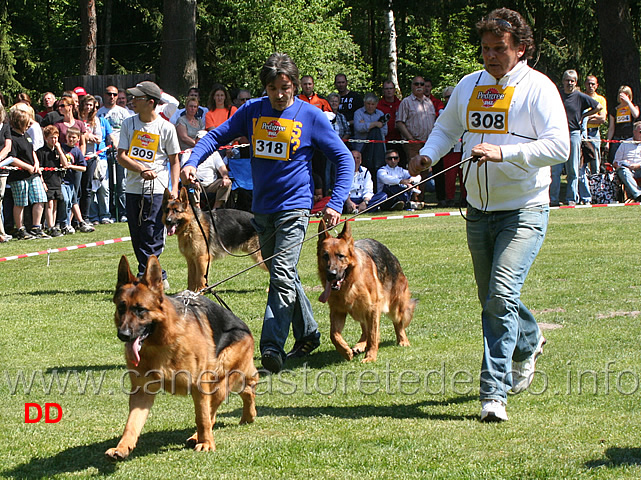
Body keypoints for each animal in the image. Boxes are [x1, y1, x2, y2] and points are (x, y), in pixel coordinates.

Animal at [104, 255, 256, 462]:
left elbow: (202, 417)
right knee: (245, 391)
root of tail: (244, 327)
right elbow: (131, 424)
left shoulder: (199, 386)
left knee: (218, 407)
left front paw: (207, 443)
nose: (123, 335)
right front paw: (122, 447)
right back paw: (248, 416)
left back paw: (203, 435)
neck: (162, 342)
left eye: (141, 310)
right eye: (121, 308)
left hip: (218, 381)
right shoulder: (141, 392)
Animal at [316, 219, 416, 362]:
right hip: (361, 309)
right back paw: (361, 344)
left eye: (341, 256)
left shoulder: (372, 308)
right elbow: (334, 334)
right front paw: (345, 351)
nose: (331, 274)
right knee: (365, 328)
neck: (350, 283)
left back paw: (403, 340)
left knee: (398, 323)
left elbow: (373, 335)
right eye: (325, 256)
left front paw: (370, 356)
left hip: (394, 306)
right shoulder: (337, 311)